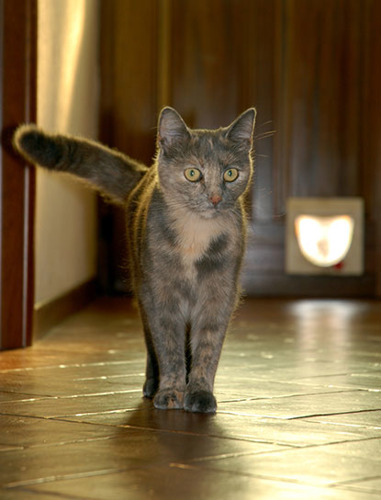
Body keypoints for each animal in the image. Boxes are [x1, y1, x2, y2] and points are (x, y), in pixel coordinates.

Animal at [13, 106, 255, 414]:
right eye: (192, 173)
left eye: (231, 174)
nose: (214, 198)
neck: (196, 233)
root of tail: (142, 175)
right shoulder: (160, 292)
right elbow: (168, 345)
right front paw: (171, 392)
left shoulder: (220, 292)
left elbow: (208, 346)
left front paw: (200, 393)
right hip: (142, 288)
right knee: (152, 345)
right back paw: (152, 386)